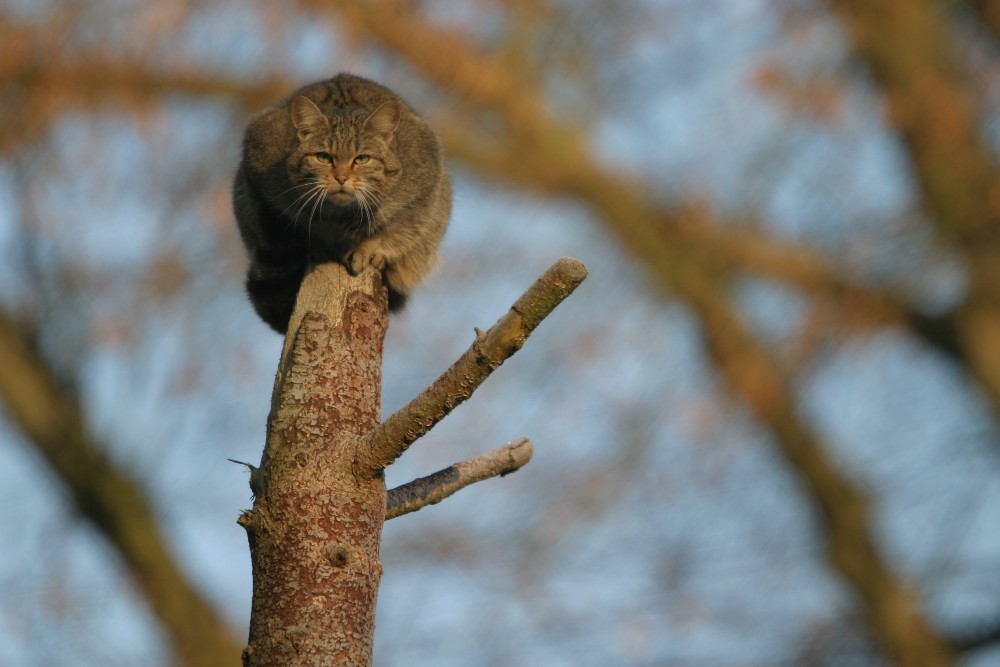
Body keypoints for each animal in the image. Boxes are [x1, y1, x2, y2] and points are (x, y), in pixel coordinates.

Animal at [232, 73, 452, 334]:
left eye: (362, 159)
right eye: (323, 157)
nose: (341, 177)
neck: (339, 216)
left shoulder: (421, 196)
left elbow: (390, 230)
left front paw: (366, 248)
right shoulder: (259, 176)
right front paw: (319, 243)